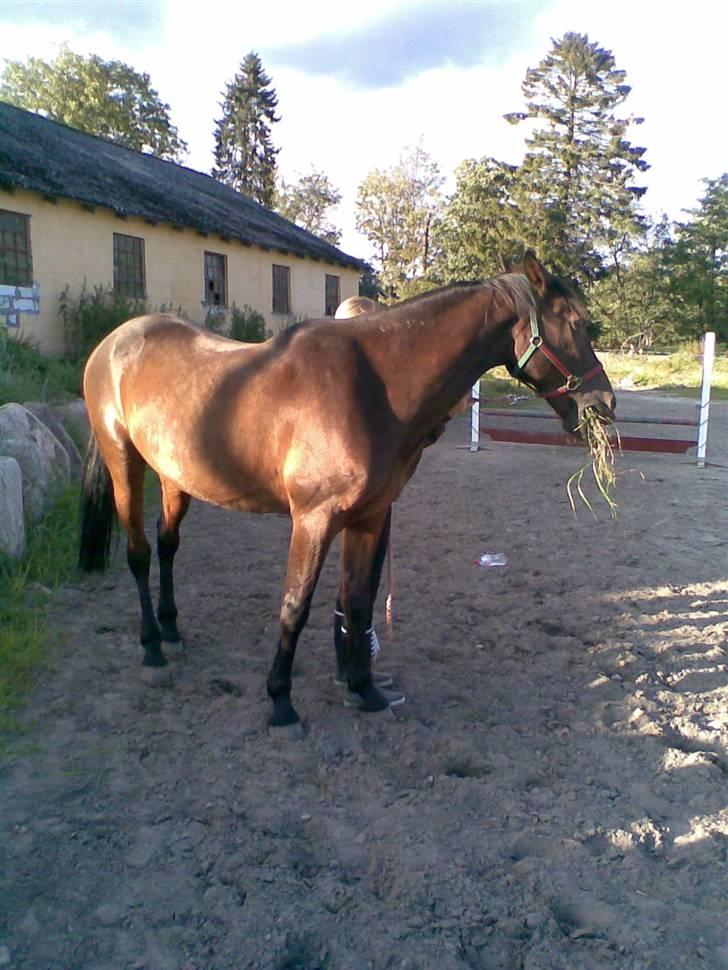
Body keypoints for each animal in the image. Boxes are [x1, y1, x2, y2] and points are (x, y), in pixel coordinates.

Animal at [78, 250, 616, 732]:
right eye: (574, 322)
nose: (604, 404)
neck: (373, 386)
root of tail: (114, 343)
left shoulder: (370, 516)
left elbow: (358, 600)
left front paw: (364, 689)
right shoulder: (313, 520)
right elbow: (295, 606)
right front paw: (281, 702)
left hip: (176, 476)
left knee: (168, 544)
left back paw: (170, 630)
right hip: (124, 461)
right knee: (139, 553)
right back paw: (151, 647)